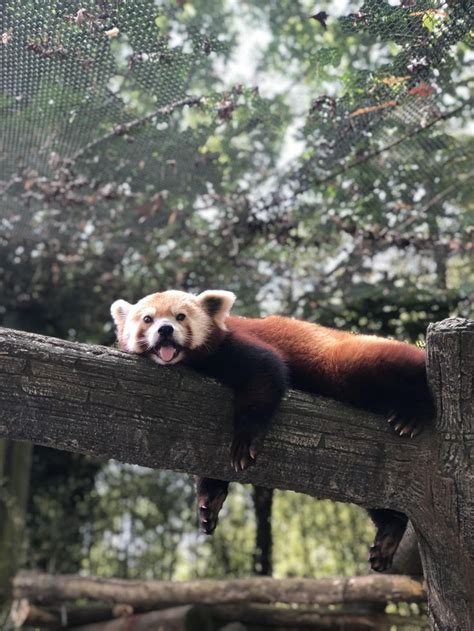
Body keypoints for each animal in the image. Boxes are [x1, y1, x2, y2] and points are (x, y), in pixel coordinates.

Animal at [110, 292, 434, 572]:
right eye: (148, 319)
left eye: (180, 316)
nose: (165, 330)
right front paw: (209, 500)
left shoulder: (238, 345)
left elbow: (268, 373)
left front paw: (244, 441)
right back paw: (389, 532)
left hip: (343, 360)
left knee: (389, 362)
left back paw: (414, 411)